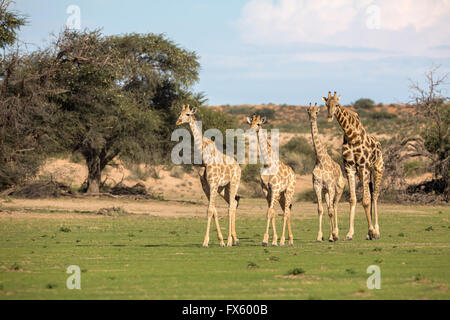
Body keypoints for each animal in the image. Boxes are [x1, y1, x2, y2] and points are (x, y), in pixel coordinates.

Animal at [175, 104, 241, 248]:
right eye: (179, 113)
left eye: (188, 114)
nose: (178, 121)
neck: (205, 158)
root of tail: (238, 167)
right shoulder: (206, 186)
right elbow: (213, 210)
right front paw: (220, 241)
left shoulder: (213, 184)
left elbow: (210, 210)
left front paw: (205, 242)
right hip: (224, 188)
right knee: (233, 203)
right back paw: (235, 239)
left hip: (234, 183)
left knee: (230, 206)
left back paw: (230, 241)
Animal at [244, 114, 298, 246]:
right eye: (250, 123)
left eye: (258, 124)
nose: (250, 131)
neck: (267, 163)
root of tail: (294, 174)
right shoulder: (266, 190)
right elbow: (271, 213)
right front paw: (270, 240)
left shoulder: (275, 189)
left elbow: (270, 213)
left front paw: (270, 240)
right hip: (282, 195)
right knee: (286, 211)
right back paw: (290, 240)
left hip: (289, 191)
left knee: (286, 213)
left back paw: (284, 240)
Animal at [306, 104, 344, 241]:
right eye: (308, 111)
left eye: (317, 112)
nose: (312, 119)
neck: (320, 160)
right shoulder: (317, 186)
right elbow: (320, 209)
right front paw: (319, 236)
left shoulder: (331, 186)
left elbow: (331, 210)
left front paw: (334, 235)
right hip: (327, 192)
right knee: (329, 207)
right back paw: (331, 234)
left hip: (338, 189)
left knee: (335, 206)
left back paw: (336, 233)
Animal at [322, 90, 384, 240]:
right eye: (326, 105)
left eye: (337, 105)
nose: (329, 116)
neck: (352, 136)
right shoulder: (349, 167)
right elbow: (353, 199)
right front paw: (350, 233)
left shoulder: (363, 166)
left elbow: (366, 200)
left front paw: (372, 231)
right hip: (364, 173)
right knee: (371, 193)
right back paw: (369, 233)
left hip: (377, 168)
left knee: (375, 195)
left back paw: (376, 231)